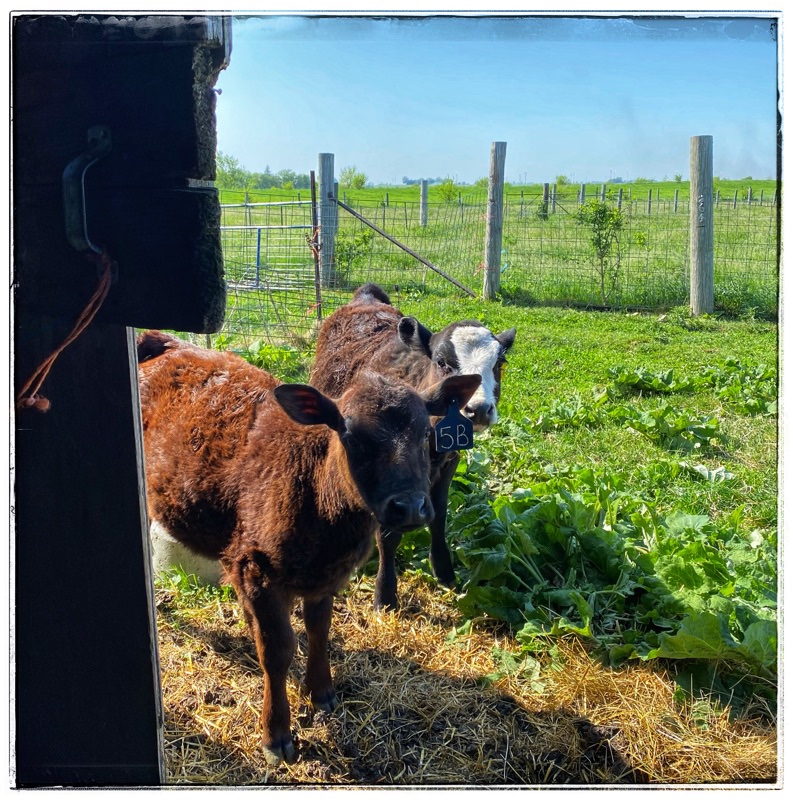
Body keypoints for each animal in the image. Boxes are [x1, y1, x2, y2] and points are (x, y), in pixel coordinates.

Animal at [136, 330, 480, 764]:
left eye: (425, 435)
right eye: (350, 435)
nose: (410, 507)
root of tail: (164, 342)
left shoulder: (325, 576)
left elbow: (319, 628)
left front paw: (321, 691)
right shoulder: (257, 570)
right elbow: (277, 650)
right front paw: (276, 732)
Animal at [310, 284, 516, 610]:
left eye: (498, 364)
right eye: (442, 362)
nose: (479, 409)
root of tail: (365, 297)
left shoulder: (450, 462)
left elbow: (439, 514)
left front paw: (443, 569)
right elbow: (388, 533)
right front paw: (385, 593)